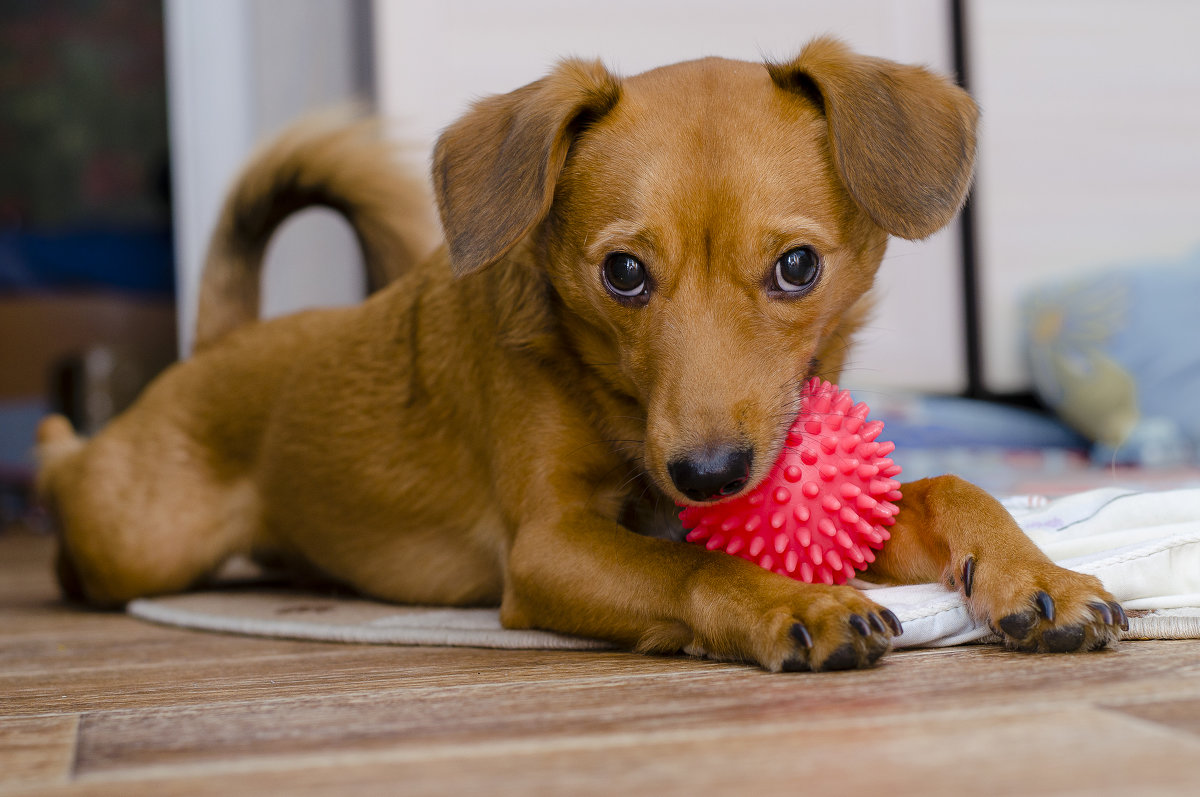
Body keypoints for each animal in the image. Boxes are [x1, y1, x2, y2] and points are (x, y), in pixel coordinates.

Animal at [37, 40, 1123, 667]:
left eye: (798, 266)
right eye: (625, 274)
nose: (709, 476)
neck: (618, 398)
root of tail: (223, 343)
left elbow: (953, 490)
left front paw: (1038, 574)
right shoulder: (551, 546)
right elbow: (689, 566)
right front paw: (786, 601)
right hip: (142, 535)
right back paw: (51, 445)